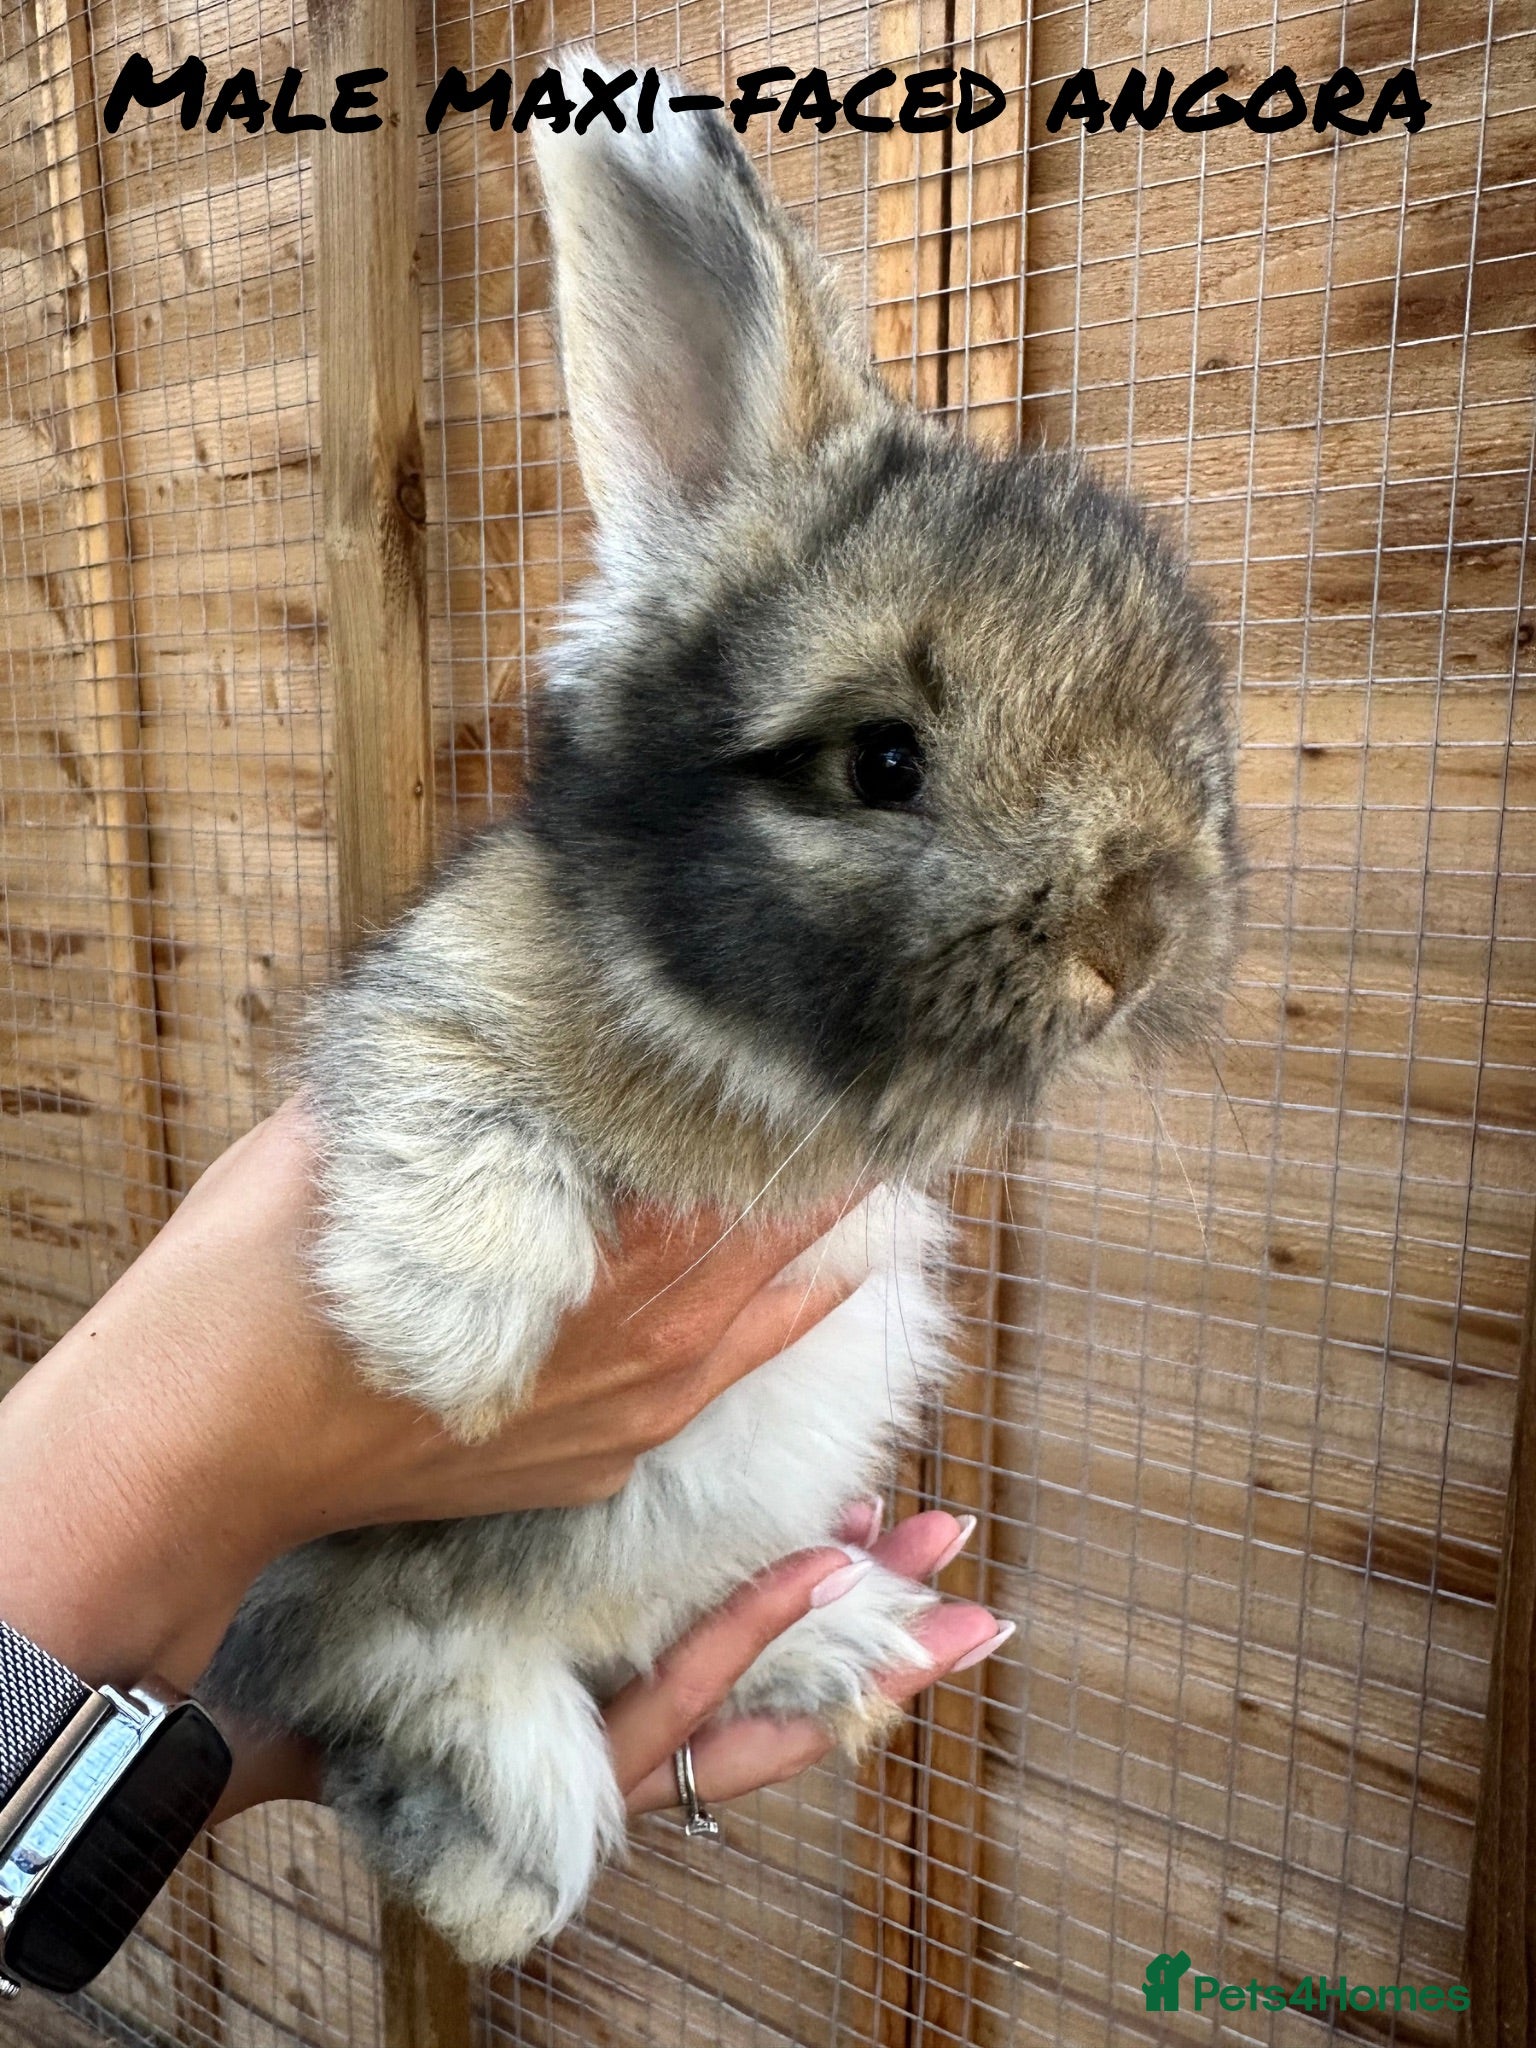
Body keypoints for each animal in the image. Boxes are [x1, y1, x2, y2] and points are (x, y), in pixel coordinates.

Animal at [204, 53, 1241, 1966]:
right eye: (880, 761)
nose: (1137, 936)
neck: (759, 1065)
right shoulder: (437, 993)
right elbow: (437, 1069)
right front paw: (453, 1338)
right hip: (370, 1577)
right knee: (404, 1658)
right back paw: (508, 1852)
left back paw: (831, 1637)